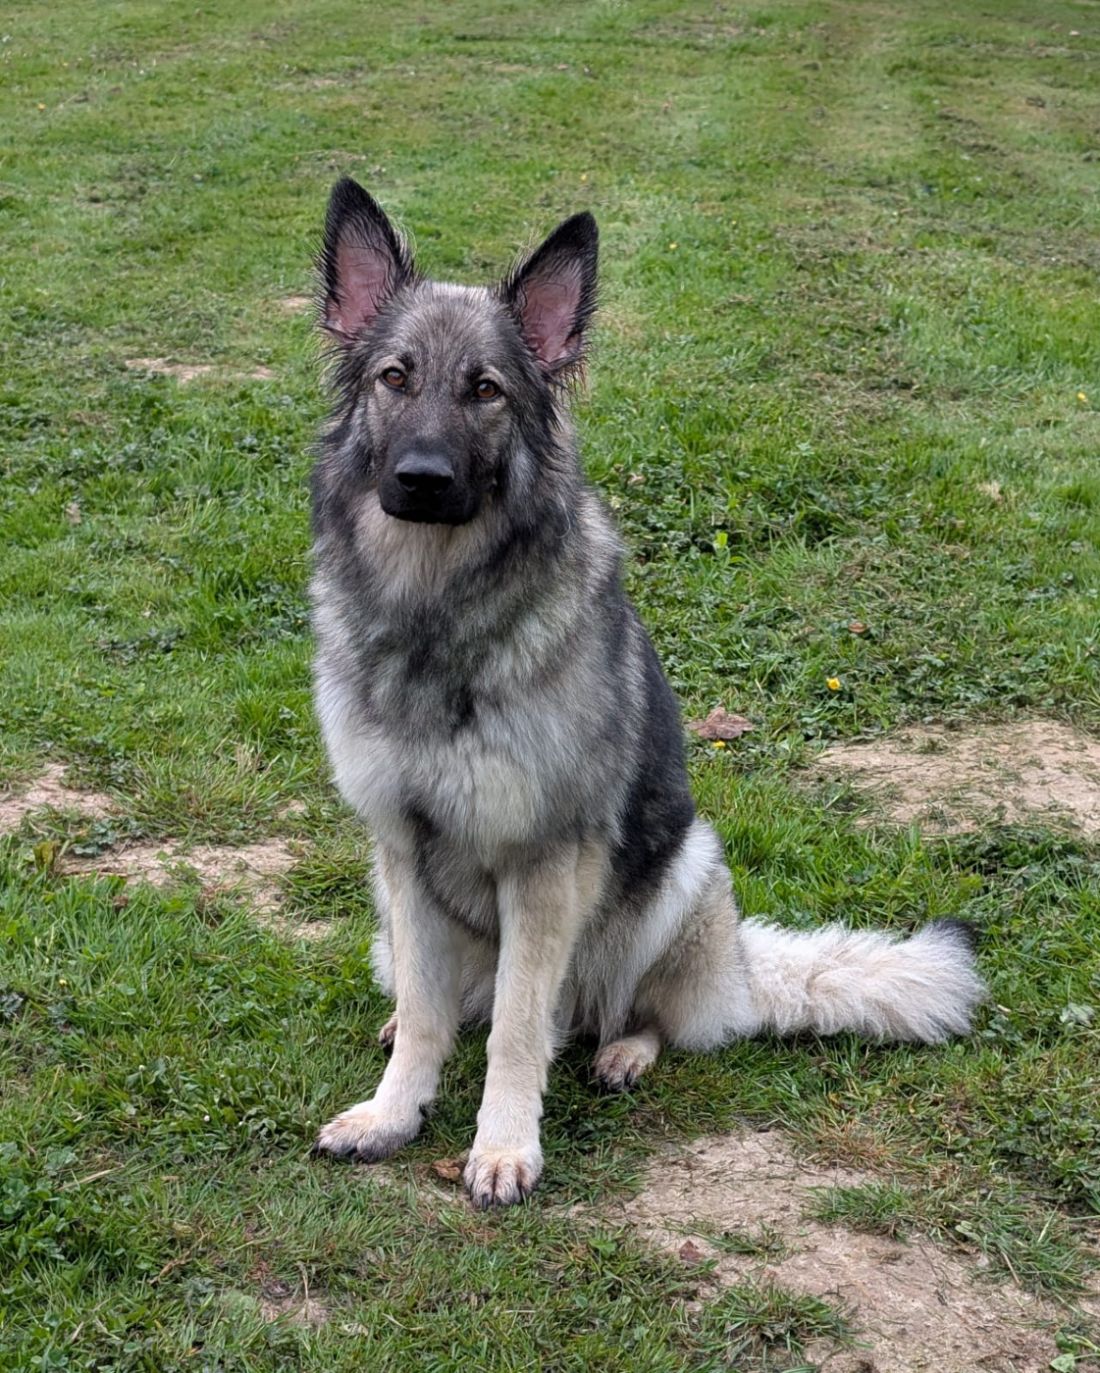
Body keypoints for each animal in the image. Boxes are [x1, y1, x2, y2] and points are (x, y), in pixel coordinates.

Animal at [308, 179, 984, 1208]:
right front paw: (393, 1112)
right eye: (395, 377)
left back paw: (625, 1049)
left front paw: (503, 1146)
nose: (421, 479)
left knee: (625, 1013)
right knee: (454, 1002)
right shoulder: (402, 849)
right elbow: (430, 1015)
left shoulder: (545, 864)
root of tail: (744, 968)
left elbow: (519, 1029)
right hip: (393, 915)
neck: (439, 614)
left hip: (683, 872)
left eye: (485, 390)